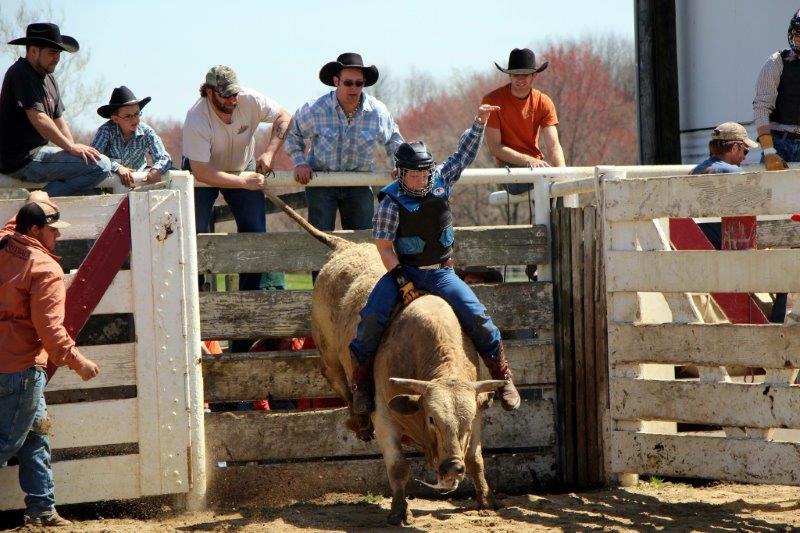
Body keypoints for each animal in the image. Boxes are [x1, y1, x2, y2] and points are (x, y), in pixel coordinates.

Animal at [268, 191, 506, 524]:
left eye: (466, 420)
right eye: (431, 418)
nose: (451, 468)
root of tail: (347, 246)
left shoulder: (477, 412)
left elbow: (476, 458)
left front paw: (486, 500)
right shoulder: (385, 416)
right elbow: (398, 466)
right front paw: (399, 511)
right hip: (329, 355)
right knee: (342, 383)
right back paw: (358, 418)